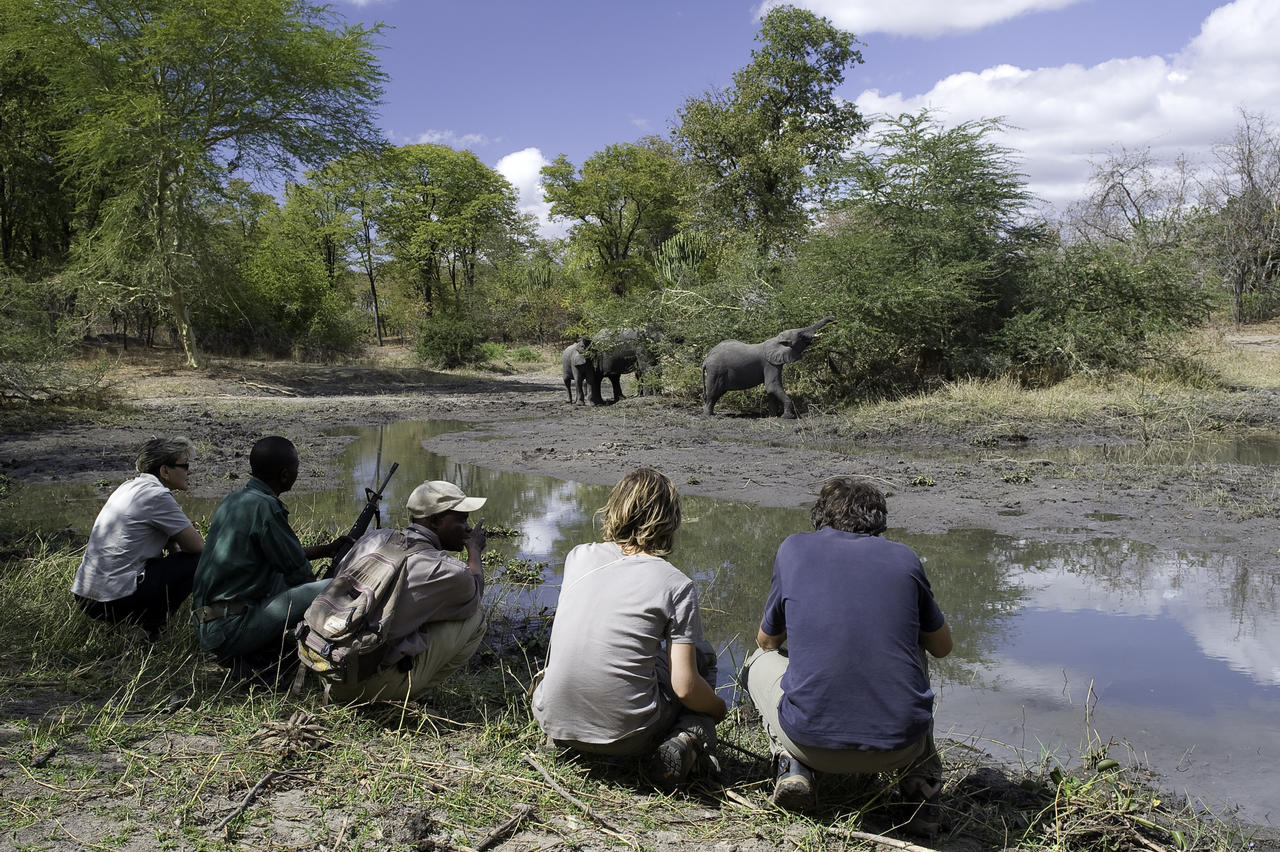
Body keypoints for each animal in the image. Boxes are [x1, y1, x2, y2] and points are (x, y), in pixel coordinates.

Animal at [706, 313, 834, 417]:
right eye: (801, 336)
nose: (834, 318)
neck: (777, 340)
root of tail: (706, 358)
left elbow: (771, 390)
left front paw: (773, 416)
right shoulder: (769, 363)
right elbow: (772, 386)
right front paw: (787, 417)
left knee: (716, 394)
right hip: (715, 371)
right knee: (712, 393)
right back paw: (709, 415)